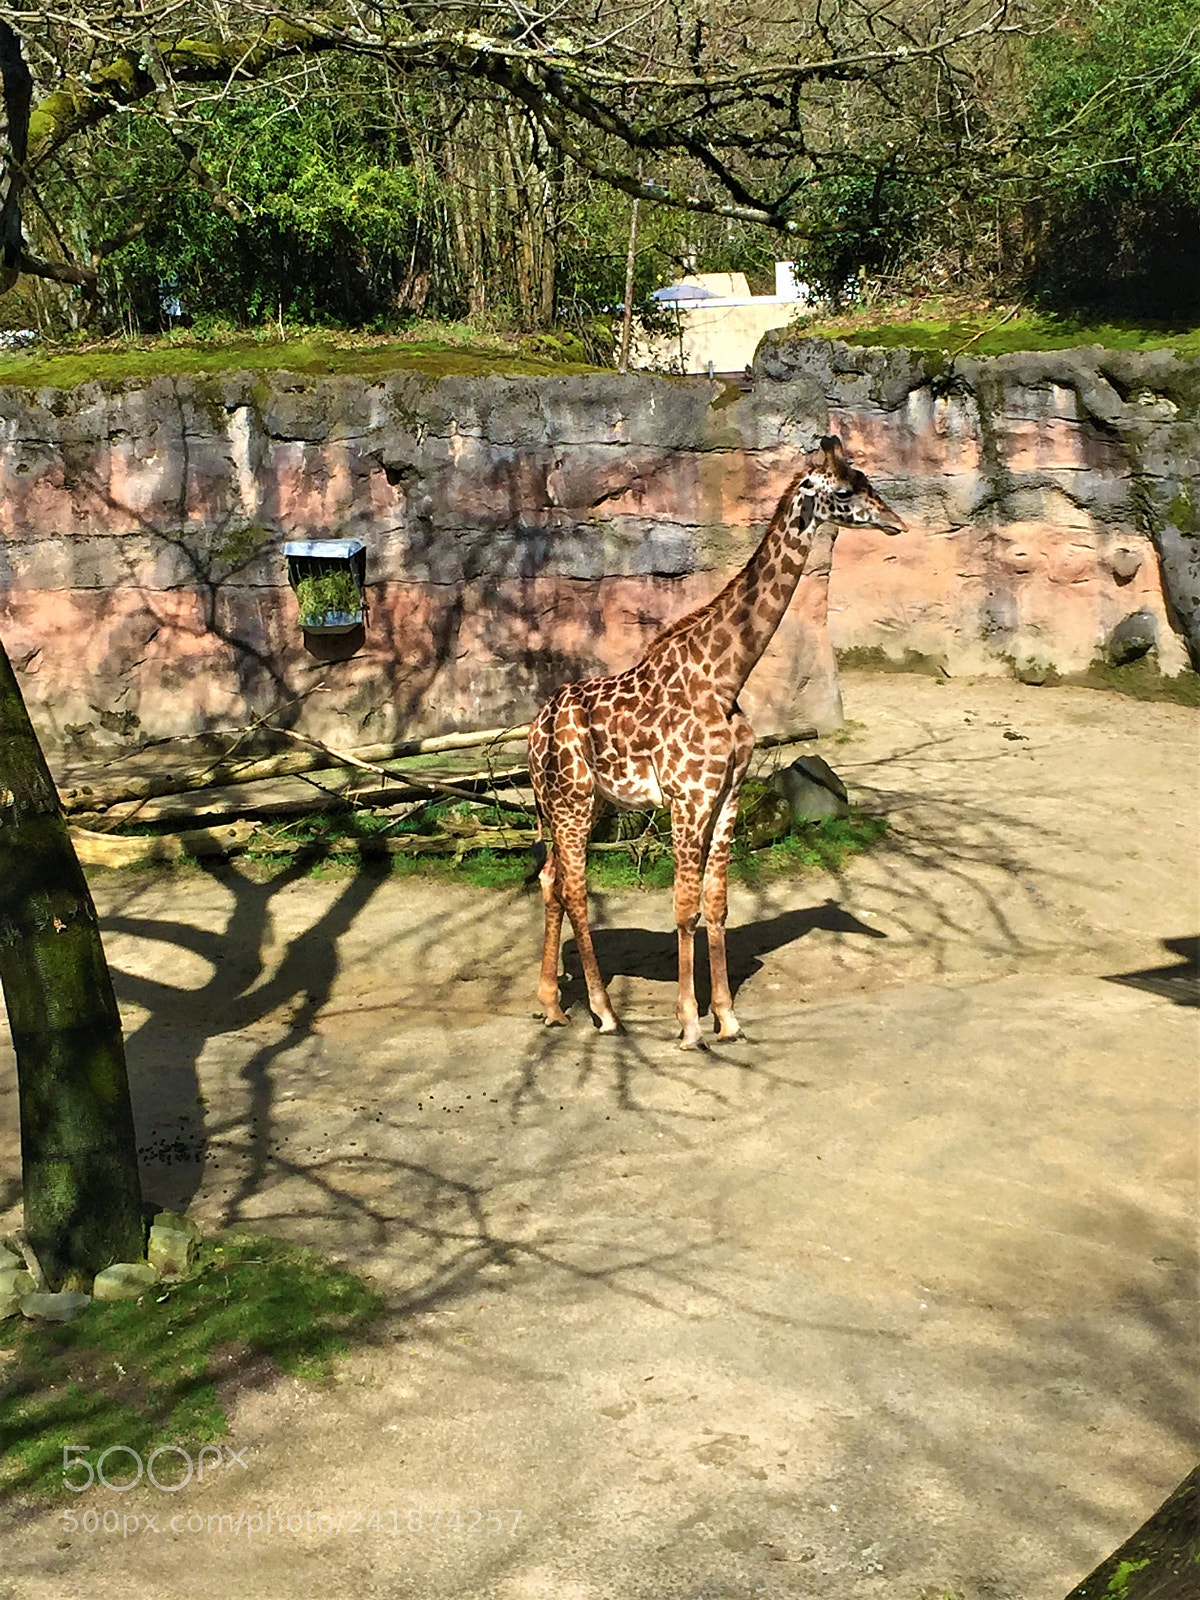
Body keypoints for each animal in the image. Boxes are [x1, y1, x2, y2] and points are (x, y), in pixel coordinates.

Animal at [527, 434, 905, 1048]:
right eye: (847, 491)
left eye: (869, 481)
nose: (897, 521)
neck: (726, 676)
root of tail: (533, 730)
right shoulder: (688, 797)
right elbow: (684, 907)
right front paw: (689, 1024)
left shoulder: (727, 795)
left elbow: (718, 904)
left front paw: (727, 1018)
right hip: (573, 802)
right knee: (577, 891)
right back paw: (604, 1012)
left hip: (571, 803)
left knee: (550, 880)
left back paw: (552, 1006)